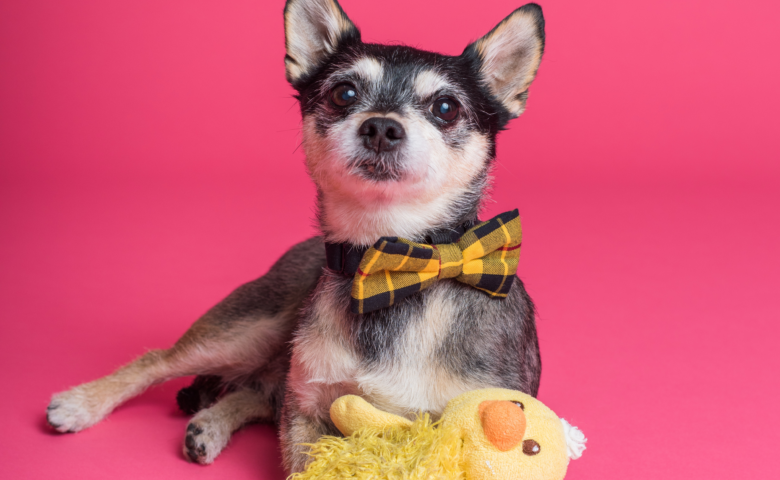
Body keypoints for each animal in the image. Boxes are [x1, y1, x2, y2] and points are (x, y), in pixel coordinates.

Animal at [47, 0, 548, 472]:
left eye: (446, 108)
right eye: (344, 93)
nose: (381, 126)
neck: (393, 264)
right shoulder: (308, 410)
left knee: (258, 392)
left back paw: (207, 426)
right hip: (248, 330)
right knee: (159, 360)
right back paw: (80, 404)